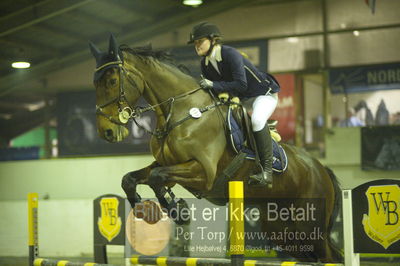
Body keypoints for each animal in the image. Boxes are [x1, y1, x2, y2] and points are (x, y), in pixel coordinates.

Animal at [89, 35, 342, 264]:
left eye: (112, 81)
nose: (107, 132)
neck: (182, 111)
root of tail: (321, 168)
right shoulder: (166, 163)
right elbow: (131, 179)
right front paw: (150, 210)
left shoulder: (203, 173)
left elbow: (156, 177)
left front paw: (178, 210)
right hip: (283, 229)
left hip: (309, 225)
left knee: (330, 256)